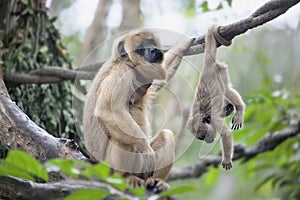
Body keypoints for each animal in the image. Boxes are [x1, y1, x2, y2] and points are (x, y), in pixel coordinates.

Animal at [82, 29, 195, 192]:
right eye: (141, 49)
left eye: (152, 44)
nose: (154, 50)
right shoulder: (121, 73)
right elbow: (107, 111)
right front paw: (145, 148)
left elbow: (161, 79)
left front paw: (184, 45)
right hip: (107, 168)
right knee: (123, 140)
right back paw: (126, 177)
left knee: (166, 135)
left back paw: (157, 181)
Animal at [188, 24, 246, 170]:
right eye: (201, 138)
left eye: (205, 135)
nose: (208, 141)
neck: (202, 115)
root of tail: (206, 67)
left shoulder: (214, 119)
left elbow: (226, 134)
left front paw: (226, 159)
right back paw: (229, 108)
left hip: (220, 71)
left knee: (226, 89)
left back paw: (240, 109)